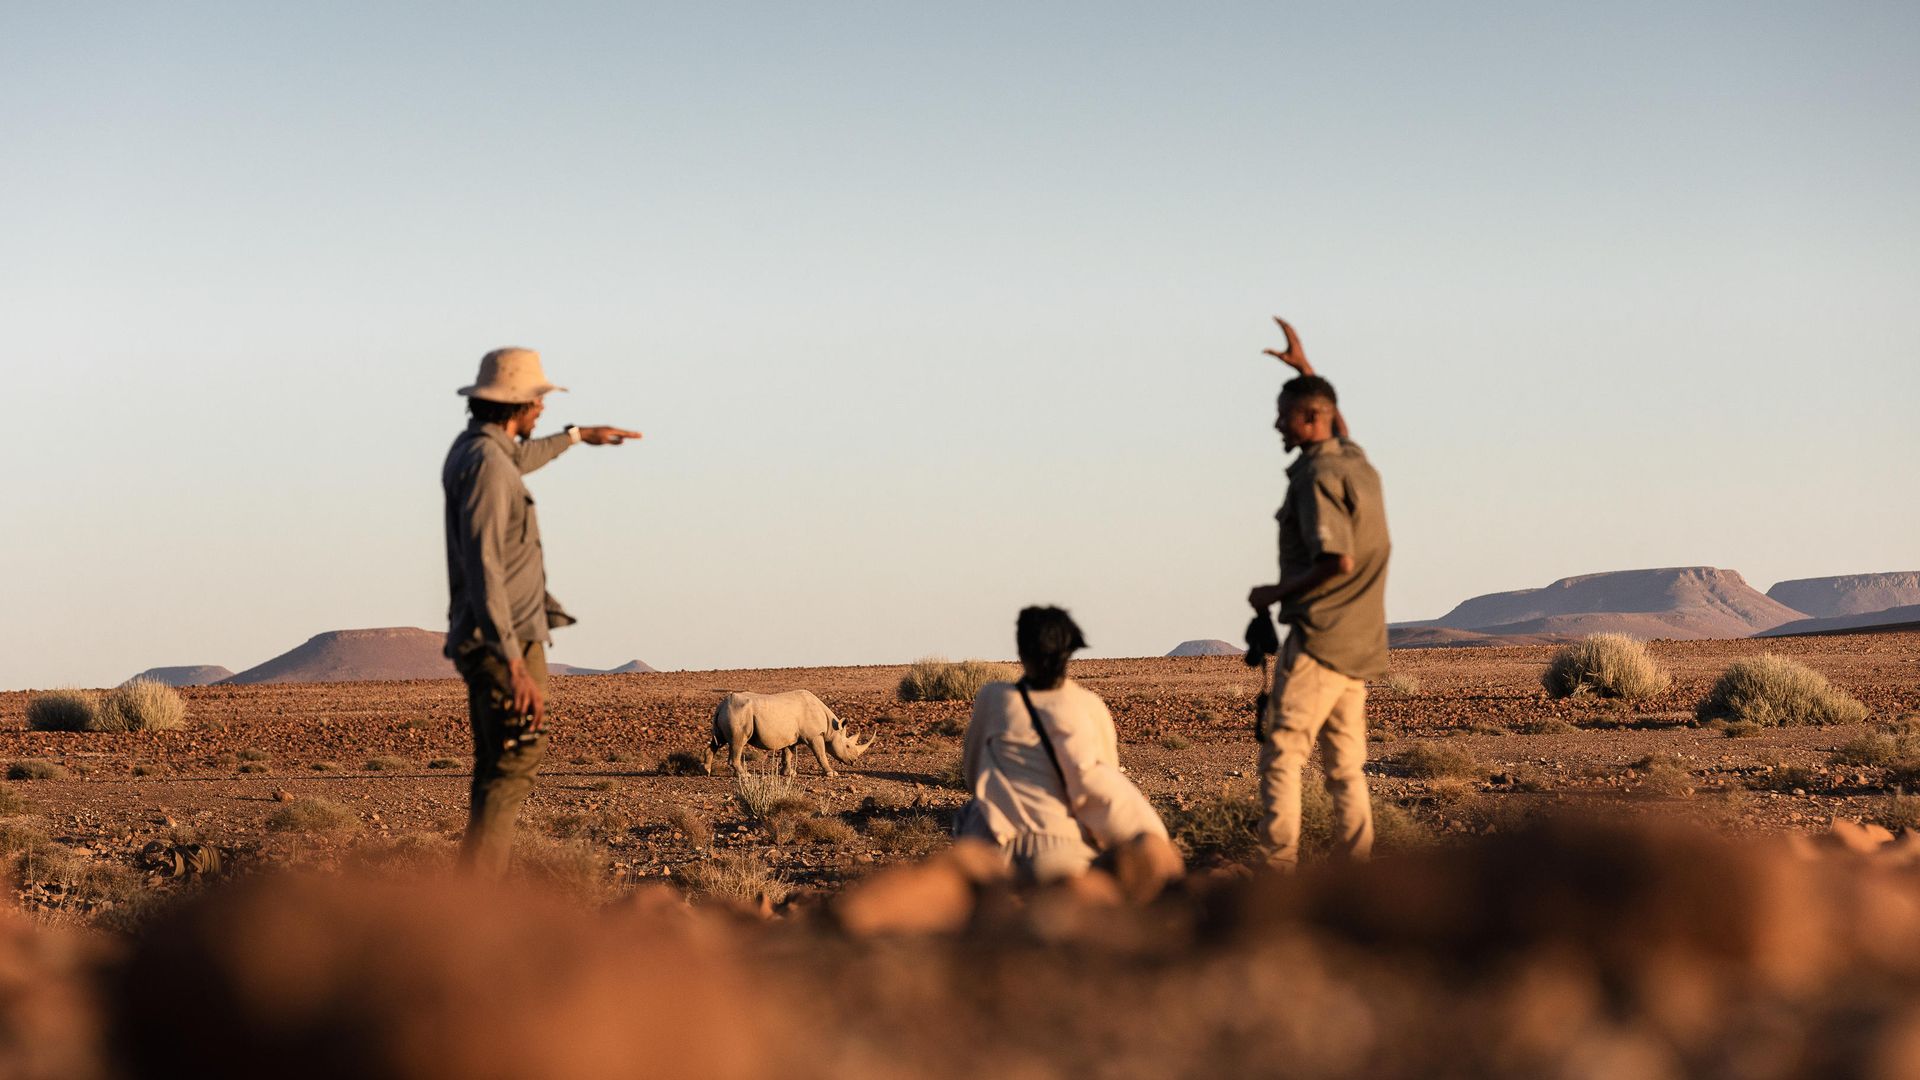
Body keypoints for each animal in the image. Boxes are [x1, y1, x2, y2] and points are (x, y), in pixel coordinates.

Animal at [705, 690, 875, 777]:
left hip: (729, 712)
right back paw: (744, 775)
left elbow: (788, 754)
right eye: (847, 746)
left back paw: (706, 770)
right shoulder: (814, 735)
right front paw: (832, 773)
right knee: (738, 742)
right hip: (738, 713)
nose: (854, 761)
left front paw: (789, 773)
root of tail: (721, 705)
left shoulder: (790, 737)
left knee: (718, 741)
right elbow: (821, 754)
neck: (831, 729)